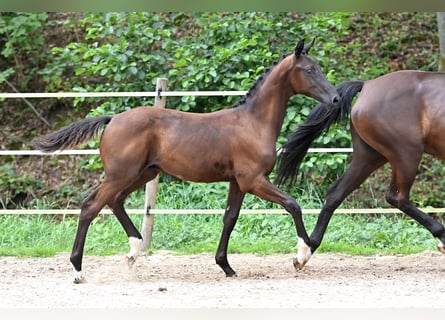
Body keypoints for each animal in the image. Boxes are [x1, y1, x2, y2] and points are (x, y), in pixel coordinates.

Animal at [33, 39, 338, 282]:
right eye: (310, 70)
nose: (335, 98)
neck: (252, 123)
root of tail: (112, 120)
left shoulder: (238, 183)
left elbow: (230, 218)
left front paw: (225, 266)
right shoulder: (253, 180)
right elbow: (292, 204)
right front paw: (302, 256)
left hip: (142, 174)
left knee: (114, 201)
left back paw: (133, 252)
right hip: (121, 174)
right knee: (90, 206)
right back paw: (78, 270)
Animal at [274, 70, 444, 270]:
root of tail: (367, 85)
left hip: (370, 157)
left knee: (335, 194)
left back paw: (305, 252)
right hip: (406, 153)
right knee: (397, 197)